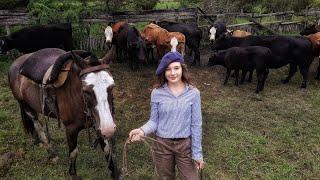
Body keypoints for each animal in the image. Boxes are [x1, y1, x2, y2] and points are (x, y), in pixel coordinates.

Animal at [7, 47, 120, 179]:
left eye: (112, 86)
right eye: (86, 91)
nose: (109, 129)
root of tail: (15, 63)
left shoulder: (98, 124)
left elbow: (107, 149)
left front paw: (114, 172)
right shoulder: (71, 129)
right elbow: (73, 153)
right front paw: (72, 174)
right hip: (25, 105)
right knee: (37, 125)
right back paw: (51, 152)